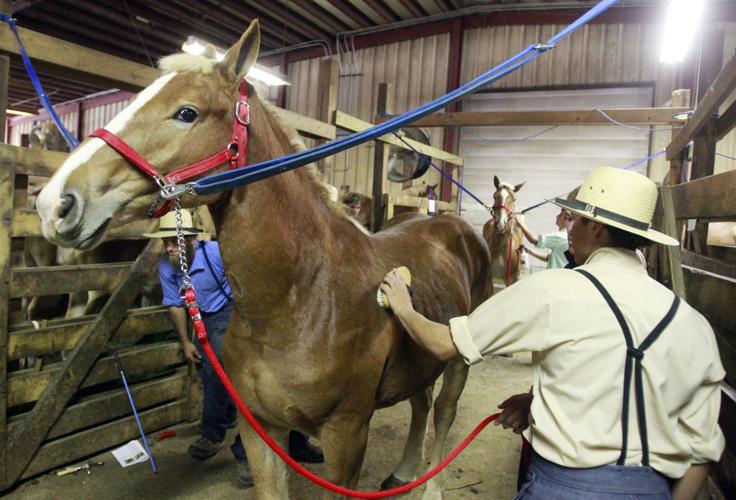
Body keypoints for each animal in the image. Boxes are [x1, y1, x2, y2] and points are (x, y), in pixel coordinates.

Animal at [37, 20, 492, 500]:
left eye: (186, 112)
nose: (55, 203)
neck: (302, 298)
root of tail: (457, 229)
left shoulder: (347, 439)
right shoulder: (261, 430)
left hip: (458, 360)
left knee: (442, 413)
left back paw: (431, 486)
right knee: (421, 401)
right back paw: (404, 472)